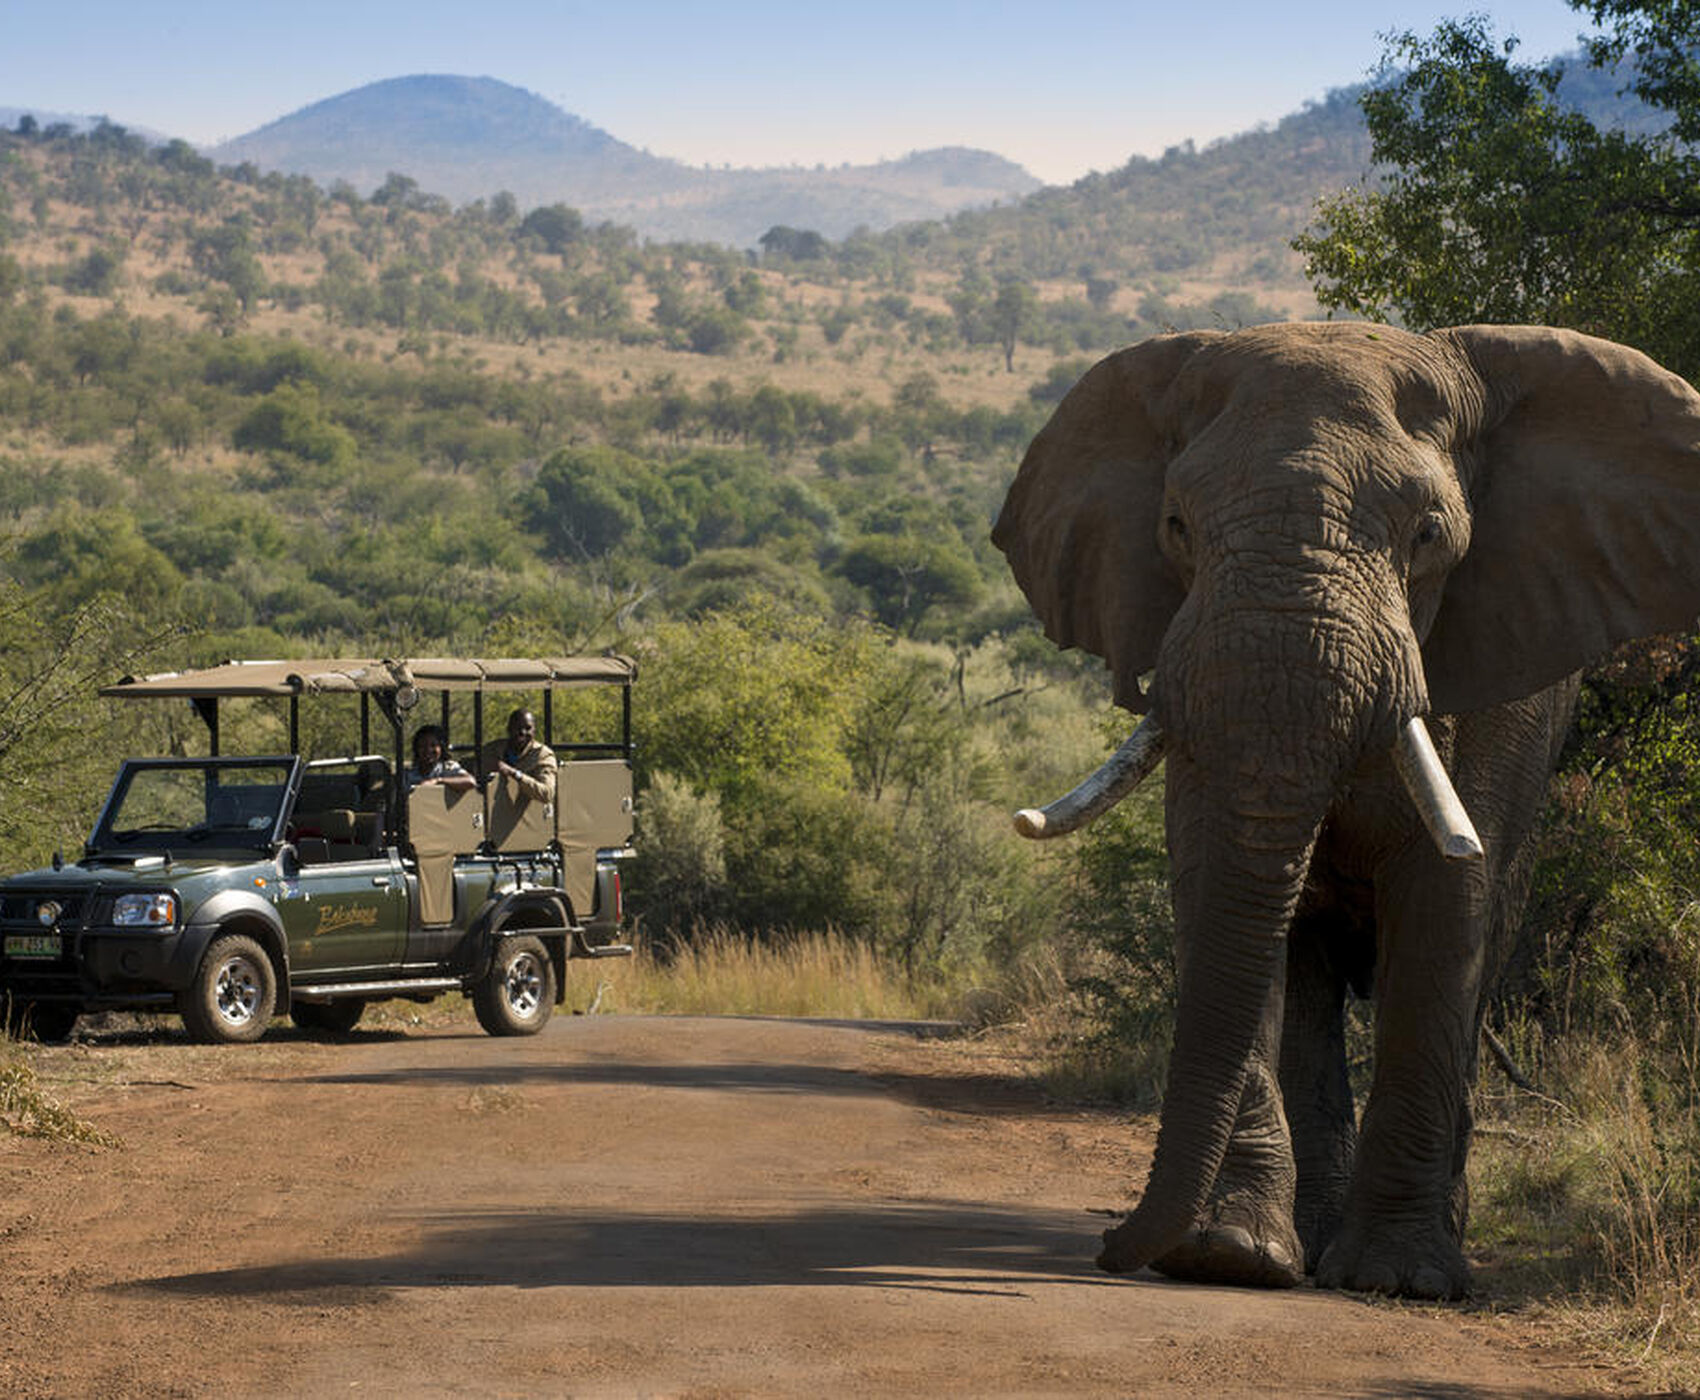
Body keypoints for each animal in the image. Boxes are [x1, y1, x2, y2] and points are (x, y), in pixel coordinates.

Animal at [992, 319, 1700, 1304]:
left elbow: (1447, 899)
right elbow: (1216, 881)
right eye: (1176, 527)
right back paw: (1299, 1243)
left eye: (1427, 533)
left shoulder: (1495, 688)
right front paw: (1226, 1257)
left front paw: (1401, 1279)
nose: (1106, 1245)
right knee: (1308, 969)